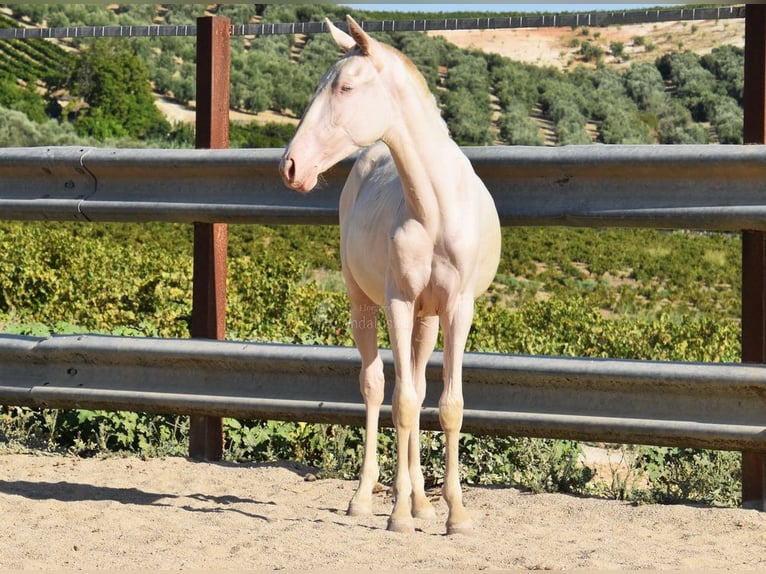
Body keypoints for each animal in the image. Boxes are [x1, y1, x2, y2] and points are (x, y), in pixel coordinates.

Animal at [282, 15, 504, 536]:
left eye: (344, 86)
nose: (291, 166)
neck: (434, 209)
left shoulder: (457, 308)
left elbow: (446, 405)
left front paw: (454, 514)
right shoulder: (398, 303)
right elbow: (400, 402)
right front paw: (399, 515)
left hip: (428, 317)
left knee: (418, 389)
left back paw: (423, 501)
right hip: (364, 304)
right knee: (376, 385)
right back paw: (368, 498)